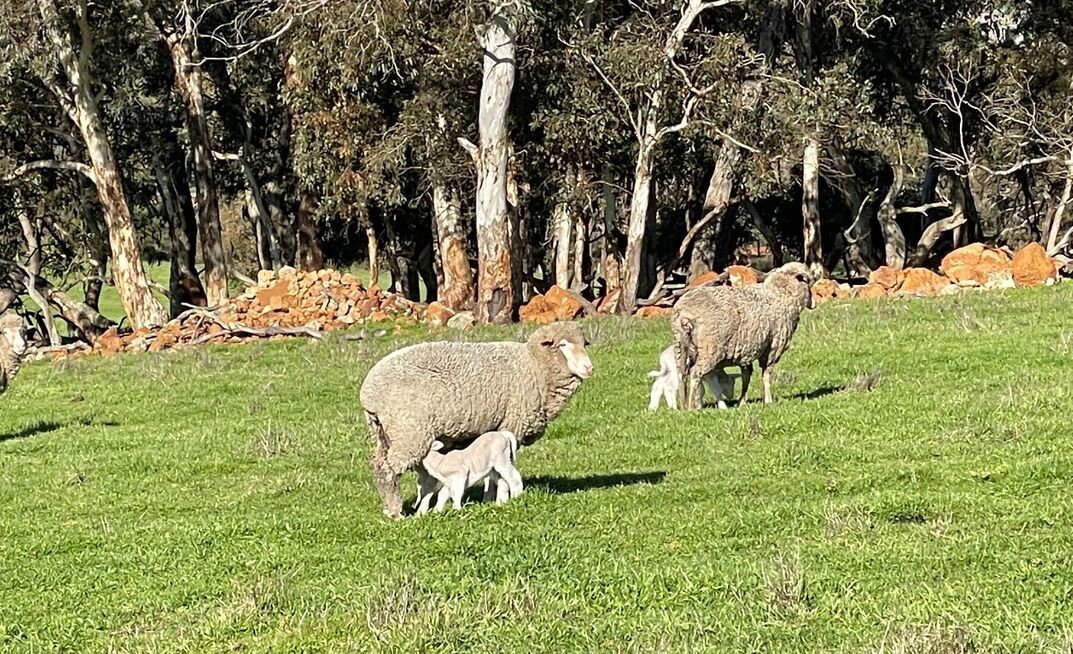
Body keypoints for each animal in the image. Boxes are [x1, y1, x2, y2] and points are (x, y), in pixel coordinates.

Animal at [360, 321, 593, 519]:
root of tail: (368, 392)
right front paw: (501, 500)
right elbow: (500, 474)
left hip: (382, 433)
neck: (534, 365)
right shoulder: (512, 424)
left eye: (584, 344)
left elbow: (491, 473)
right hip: (409, 431)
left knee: (380, 465)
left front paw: (489, 499)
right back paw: (395, 512)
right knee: (387, 470)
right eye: (562, 344)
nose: (589, 368)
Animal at [672, 262, 814, 409]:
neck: (780, 293)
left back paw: (683, 406)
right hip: (709, 349)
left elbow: (746, 375)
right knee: (695, 373)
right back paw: (691, 407)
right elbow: (766, 374)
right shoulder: (773, 348)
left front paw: (742, 402)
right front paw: (768, 400)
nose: (813, 304)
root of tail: (685, 315)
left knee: (682, 375)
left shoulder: (746, 350)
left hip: (681, 346)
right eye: (807, 283)